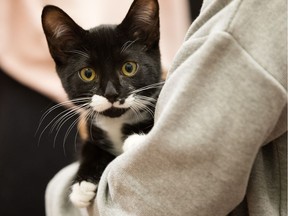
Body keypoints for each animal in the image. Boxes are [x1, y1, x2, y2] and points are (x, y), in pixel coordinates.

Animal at [41, 0, 162, 208]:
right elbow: (88, 148)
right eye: (88, 73)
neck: (115, 123)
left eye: (129, 67)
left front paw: (138, 139)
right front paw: (82, 183)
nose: (111, 93)